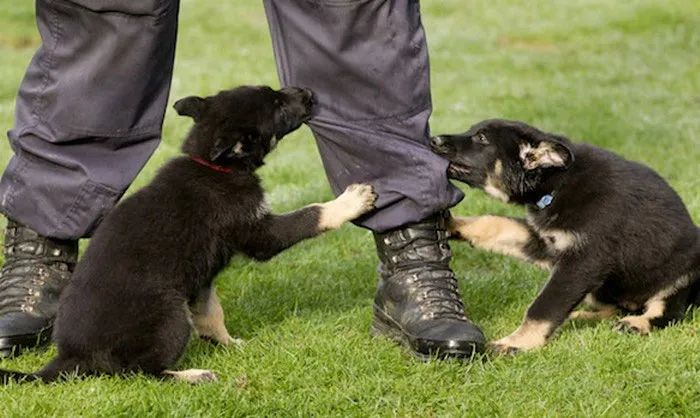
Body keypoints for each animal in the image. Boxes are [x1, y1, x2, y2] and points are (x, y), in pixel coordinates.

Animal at [0, 85, 378, 382]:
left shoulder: (201, 277)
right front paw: (351, 201)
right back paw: (192, 375)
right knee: (138, 372)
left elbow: (211, 313)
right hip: (170, 315)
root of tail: (71, 357)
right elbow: (310, 215)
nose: (310, 93)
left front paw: (230, 344)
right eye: (277, 106)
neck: (214, 165)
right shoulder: (259, 232)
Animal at [430, 119, 696, 354]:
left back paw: (636, 323)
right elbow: (496, 224)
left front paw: (516, 342)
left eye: (482, 138)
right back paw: (584, 317)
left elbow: (545, 305)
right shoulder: (546, 242)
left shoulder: (583, 260)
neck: (556, 183)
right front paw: (452, 223)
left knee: (667, 312)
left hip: (680, 277)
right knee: (615, 309)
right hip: (601, 288)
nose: (434, 140)